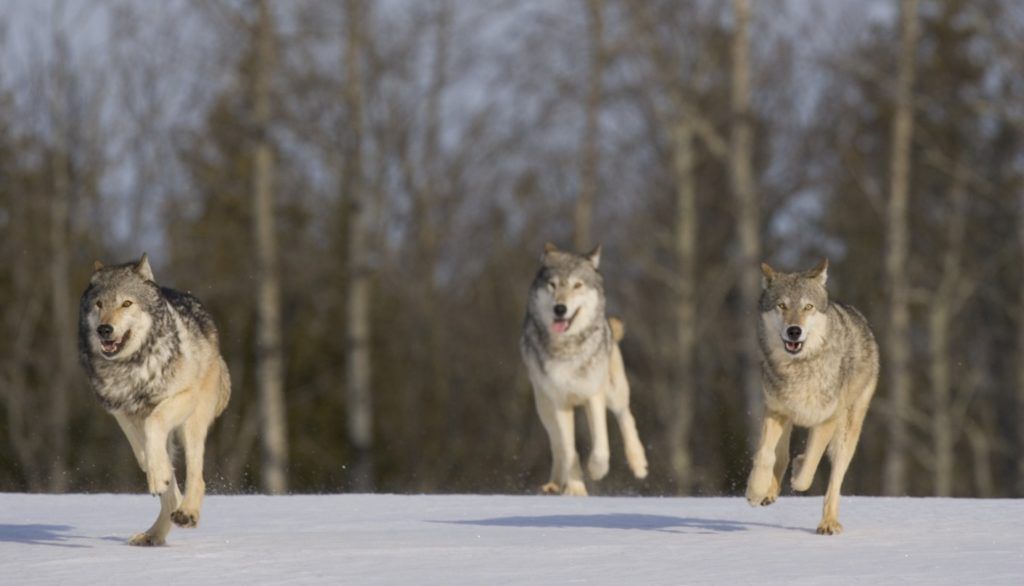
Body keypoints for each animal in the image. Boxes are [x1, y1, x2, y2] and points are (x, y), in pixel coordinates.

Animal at [78, 254, 230, 546]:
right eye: (99, 304)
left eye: (126, 303)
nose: (104, 329)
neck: (131, 368)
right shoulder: (121, 411)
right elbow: (144, 453)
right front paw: (157, 474)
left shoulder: (182, 397)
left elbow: (154, 422)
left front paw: (160, 476)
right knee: (169, 483)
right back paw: (155, 532)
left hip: (192, 421)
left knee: (197, 475)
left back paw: (187, 512)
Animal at [520, 242, 648, 496]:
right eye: (553, 284)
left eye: (577, 285)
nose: (560, 308)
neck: (566, 350)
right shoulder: (559, 404)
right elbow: (569, 450)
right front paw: (576, 489)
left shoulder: (593, 396)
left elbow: (601, 445)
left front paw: (597, 471)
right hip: (544, 408)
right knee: (557, 445)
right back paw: (555, 484)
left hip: (613, 392)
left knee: (625, 416)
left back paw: (639, 464)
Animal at [745, 258, 879, 534]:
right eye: (782, 305)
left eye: (808, 307)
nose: (794, 331)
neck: (799, 368)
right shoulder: (775, 410)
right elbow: (765, 455)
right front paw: (755, 491)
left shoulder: (826, 421)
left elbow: (808, 471)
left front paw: (799, 470)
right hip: (787, 418)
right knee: (781, 454)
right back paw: (769, 492)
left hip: (847, 434)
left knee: (834, 480)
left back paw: (828, 523)